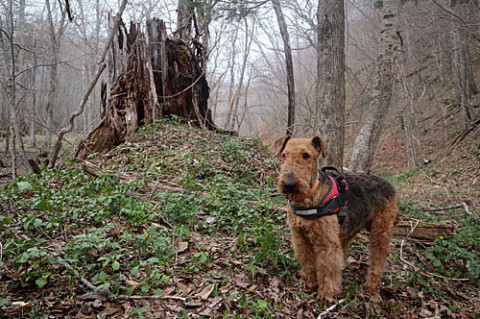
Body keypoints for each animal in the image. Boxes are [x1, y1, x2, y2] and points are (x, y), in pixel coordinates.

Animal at [274, 136, 398, 302]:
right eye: (284, 155)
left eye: (306, 155)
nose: (289, 184)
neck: (309, 198)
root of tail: (388, 183)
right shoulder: (299, 237)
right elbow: (307, 262)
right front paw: (310, 283)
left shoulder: (327, 244)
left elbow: (327, 268)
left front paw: (326, 294)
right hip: (348, 229)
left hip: (381, 230)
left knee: (378, 258)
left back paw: (371, 285)